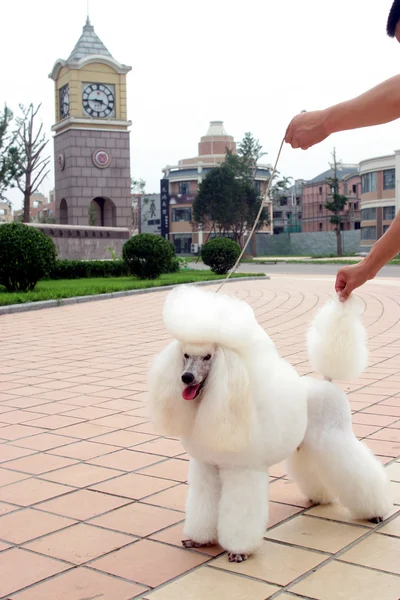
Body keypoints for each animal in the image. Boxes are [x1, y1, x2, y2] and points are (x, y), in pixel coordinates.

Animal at [148, 286, 392, 564]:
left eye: (208, 356)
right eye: (186, 355)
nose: (186, 377)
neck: (218, 398)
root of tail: (327, 382)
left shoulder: (242, 469)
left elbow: (240, 512)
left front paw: (238, 551)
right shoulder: (207, 467)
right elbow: (203, 505)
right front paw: (199, 539)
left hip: (334, 437)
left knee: (358, 470)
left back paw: (375, 511)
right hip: (309, 445)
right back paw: (320, 497)